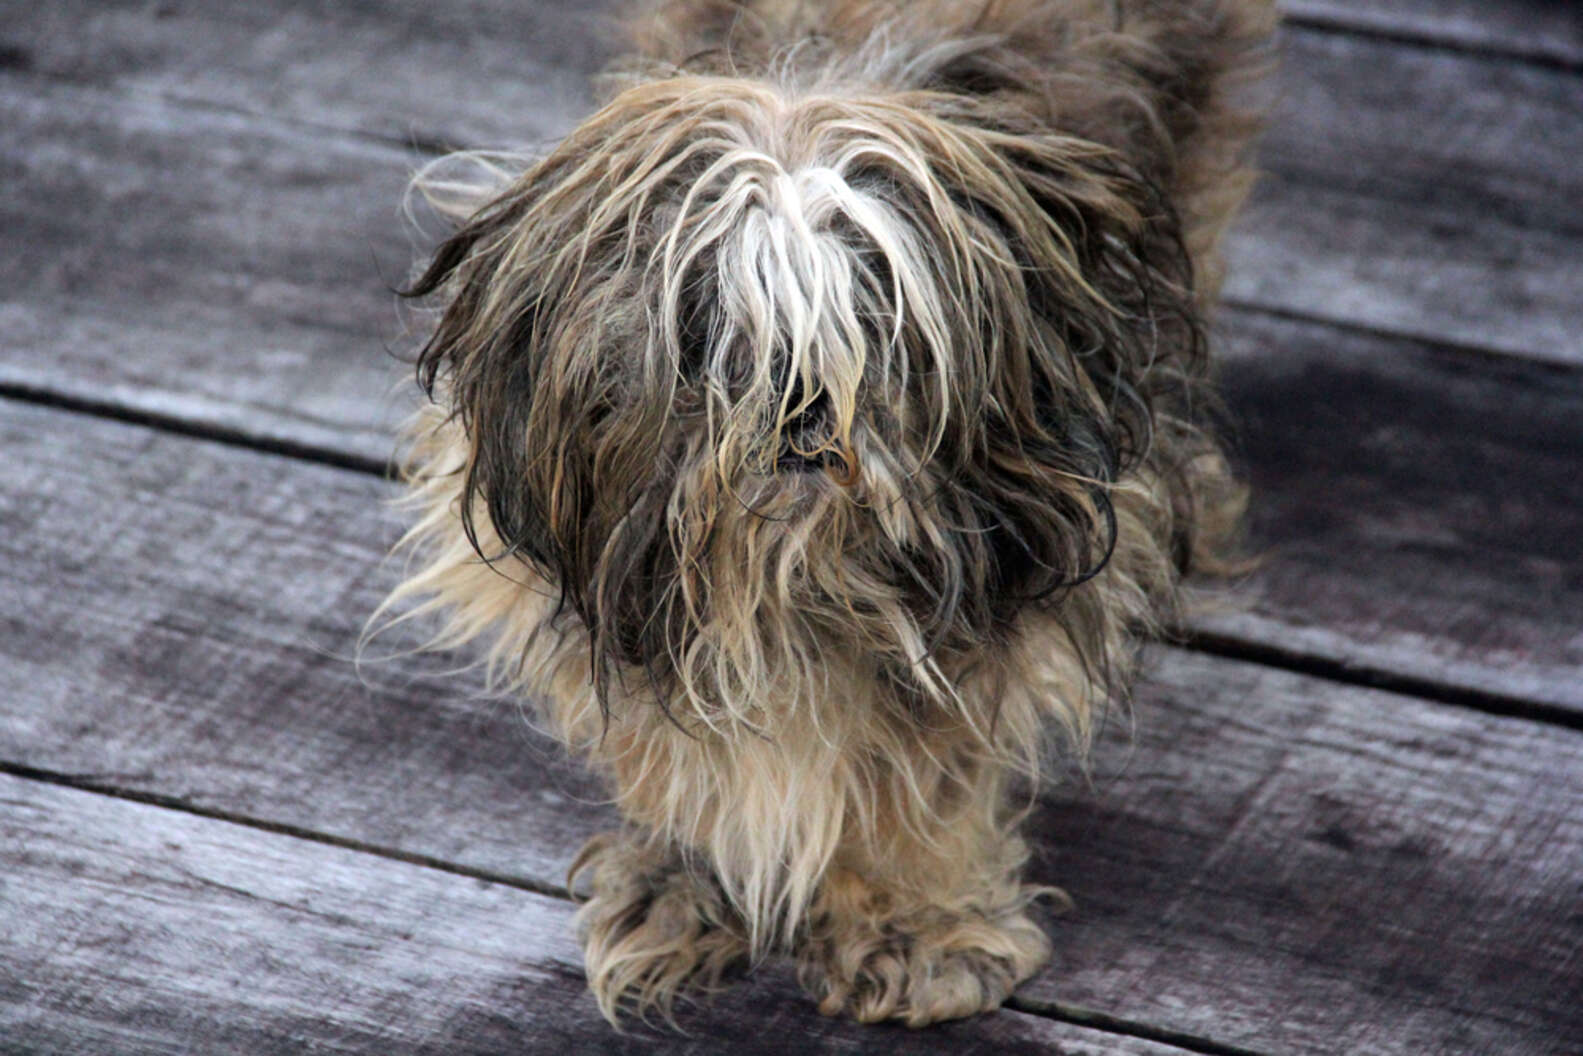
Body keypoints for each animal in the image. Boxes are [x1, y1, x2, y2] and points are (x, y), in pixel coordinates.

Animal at [379, 0, 1272, 1025]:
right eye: (704, 325)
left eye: (878, 317)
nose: (803, 401)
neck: (793, 573)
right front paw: (688, 881)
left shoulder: (990, 578)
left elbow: (921, 769)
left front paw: (910, 926)